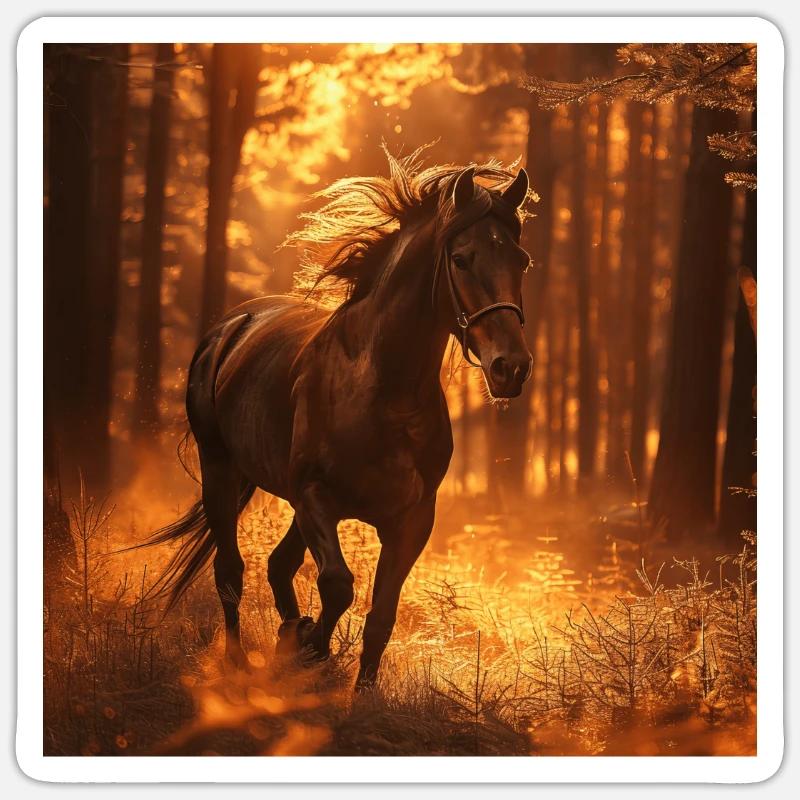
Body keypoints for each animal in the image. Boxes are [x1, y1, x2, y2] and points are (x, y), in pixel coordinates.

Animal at [145, 148, 534, 689]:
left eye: (521, 260)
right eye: (461, 258)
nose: (510, 367)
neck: (383, 392)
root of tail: (230, 327)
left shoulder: (412, 519)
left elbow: (380, 615)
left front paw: (352, 686)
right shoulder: (316, 497)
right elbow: (337, 585)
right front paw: (310, 644)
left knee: (277, 564)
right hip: (221, 469)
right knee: (231, 571)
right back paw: (240, 663)